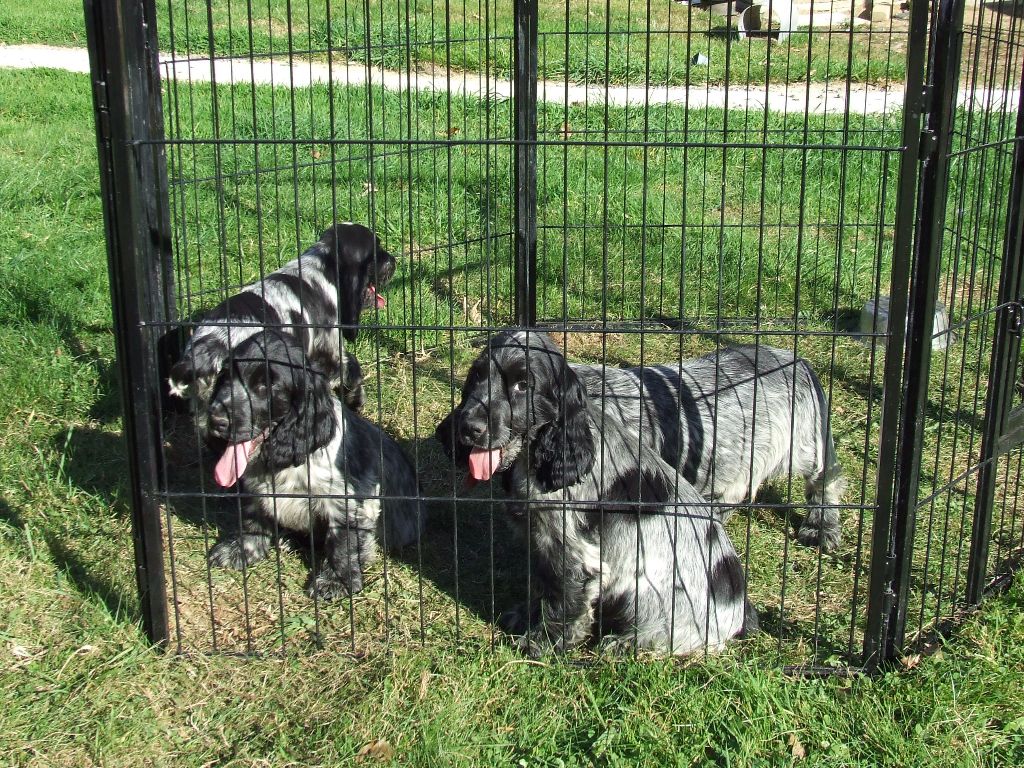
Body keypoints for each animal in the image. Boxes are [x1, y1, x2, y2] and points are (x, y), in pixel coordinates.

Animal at [165, 222, 393, 415]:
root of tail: (205, 350)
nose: (394, 261)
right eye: (377, 252)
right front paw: (356, 400)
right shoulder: (328, 353)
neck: (323, 267)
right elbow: (351, 367)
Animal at [204, 327, 419, 598]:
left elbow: (343, 542)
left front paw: (335, 581)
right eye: (225, 378)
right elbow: (252, 519)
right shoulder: (254, 490)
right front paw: (239, 551)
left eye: (267, 386)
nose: (216, 421)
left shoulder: (348, 498)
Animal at [434, 331, 753, 655]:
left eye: (523, 385)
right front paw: (525, 617)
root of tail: (737, 613)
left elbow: (563, 600)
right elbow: (542, 585)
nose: (468, 427)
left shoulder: (570, 550)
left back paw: (622, 643)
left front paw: (542, 644)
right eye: (477, 376)